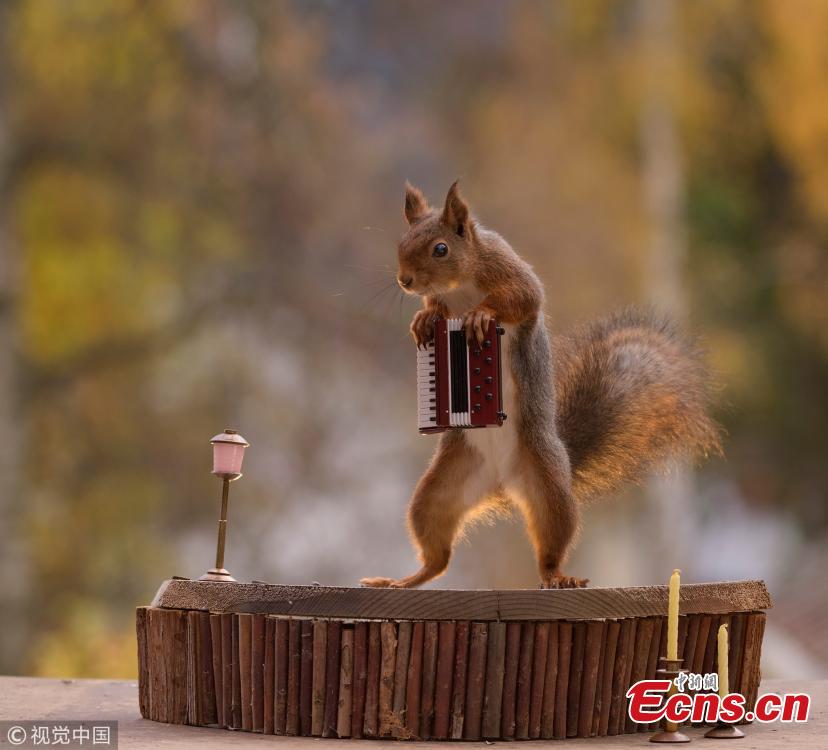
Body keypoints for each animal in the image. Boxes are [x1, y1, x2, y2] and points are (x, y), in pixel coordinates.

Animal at [360, 181, 721, 590]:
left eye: (441, 249)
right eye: (402, 241)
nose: (405, 280)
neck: (460, 286)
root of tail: (501, 484)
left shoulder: (509, 271)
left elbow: (523, 299)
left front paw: (480, 315)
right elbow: (436, 309)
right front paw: (424, 319)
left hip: (548, 487)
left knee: (550, 541)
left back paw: (557, 576)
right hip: (439, 490)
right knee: (437, 555)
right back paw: (403, 580)